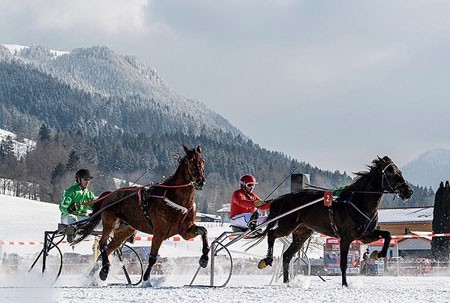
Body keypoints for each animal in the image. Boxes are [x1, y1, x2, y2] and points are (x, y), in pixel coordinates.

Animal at [75, 145, 209, 284]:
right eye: (190, 161)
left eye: (203, 161)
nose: (200, 181)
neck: (177, 200)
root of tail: (109, 195)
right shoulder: (159, 232)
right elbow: (153, 257)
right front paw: (146, 278)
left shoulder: (185, 231)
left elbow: (203, 231)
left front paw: (204, 258)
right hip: (109, 223)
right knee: (103, 244)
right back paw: (104, 270)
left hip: (124, 231)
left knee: (108, 249)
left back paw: (94, 274)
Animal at [256, 157, 412, 288]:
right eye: (392, 173)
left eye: (399, 171)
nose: (408, 191)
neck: (358, 201)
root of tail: (284, 198)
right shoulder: (346, 238)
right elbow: (343, 263)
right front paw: (345, 284)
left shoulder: (365, 235)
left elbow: (388, 234)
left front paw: (378, 254)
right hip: (287, 225)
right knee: (272, 234)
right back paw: (267, 259)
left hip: (302, 234)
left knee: (287, 255)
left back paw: (287, 282)